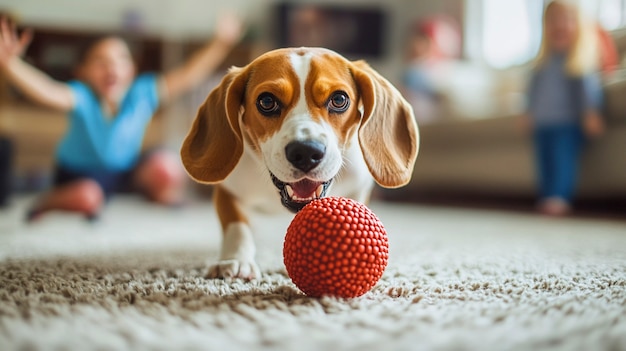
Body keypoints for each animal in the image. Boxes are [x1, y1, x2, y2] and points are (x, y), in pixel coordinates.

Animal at [178, 48, 416, 282]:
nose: (306, 152)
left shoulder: (359, 187)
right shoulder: (228, 191)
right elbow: (237, 226)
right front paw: (236, 260)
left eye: (339, 99)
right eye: (267, 102)